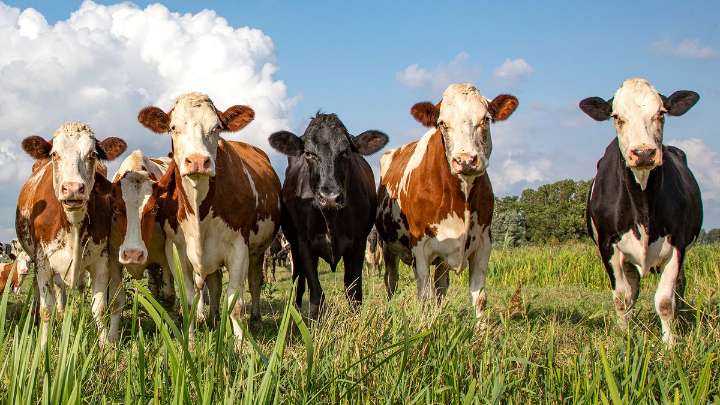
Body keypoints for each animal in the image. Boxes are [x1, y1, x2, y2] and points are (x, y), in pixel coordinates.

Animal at [15, 122, 127, 346]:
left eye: (93, 154)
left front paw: (104, 347)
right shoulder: (42, 261)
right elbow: (46, 309)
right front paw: (43, 347)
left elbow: (99, 308)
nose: (73, 188)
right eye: (55, 154)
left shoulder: (101, 260)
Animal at [137, 93, 281, 345]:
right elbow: (190, 301)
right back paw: (214, 319)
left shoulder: (239, 248)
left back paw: (255, 319)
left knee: (255, 281)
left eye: (216, 128)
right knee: (214, 285)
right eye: (173, 127)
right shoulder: (175, 250)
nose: (197, 161)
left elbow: (235, 303)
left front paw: (240, 346)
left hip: (258, 250)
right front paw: (190, 343)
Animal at [269, 113, 389, 319]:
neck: (330, 218)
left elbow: (354, 290)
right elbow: (316, 295)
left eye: (346, 152)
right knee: (298, 282)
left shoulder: (358, 243)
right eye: (309, 153)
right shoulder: (304, 244)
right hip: (293, 245)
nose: (330, 197)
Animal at [376, 83, 518, 327]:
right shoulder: (420, 246)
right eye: (442, 123)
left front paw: (482, 333)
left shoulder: (483, 242)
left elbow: (479, 296)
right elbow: (423, 296)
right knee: (391, 282)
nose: (465, 160)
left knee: (441, 287)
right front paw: (424, 328)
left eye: (486, 119)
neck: (461, 198)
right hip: (387, 247)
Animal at [579, 78, 702, 346]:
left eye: (661, 113)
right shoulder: (608, 245)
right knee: (632, 289)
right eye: (616, 116)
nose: (644, 153)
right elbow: (622, 297)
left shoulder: (678, 244)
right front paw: (624, 337)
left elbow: (665, 300)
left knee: (679, 287)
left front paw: (670, 344)